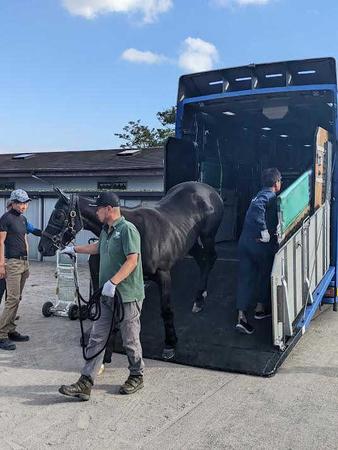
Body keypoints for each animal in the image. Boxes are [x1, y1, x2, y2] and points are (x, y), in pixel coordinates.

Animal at [38, 181, 224, 360]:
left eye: (58, 215)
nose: (42, 247)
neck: (136, 230)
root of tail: (209, 190)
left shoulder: (163, 274)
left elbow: (166, 310)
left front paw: (170, 344)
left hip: (207, 237)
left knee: (210, 259)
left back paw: (199, 299)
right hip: (190, 243)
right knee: (202, 260)